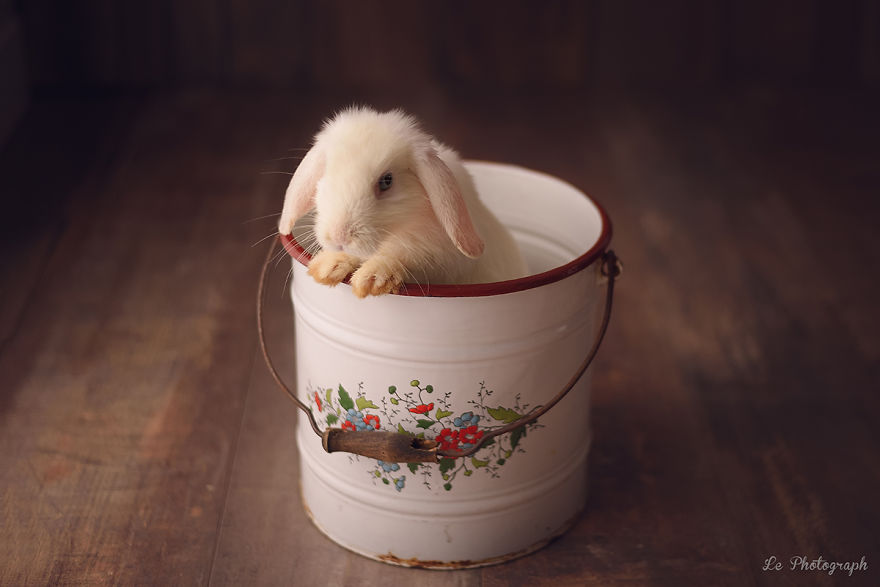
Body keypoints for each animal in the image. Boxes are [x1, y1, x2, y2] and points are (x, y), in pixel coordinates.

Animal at [278, 106, 528, 297]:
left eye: (387, 181)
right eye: (327, 172)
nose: (340, 237)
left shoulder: (441, 259)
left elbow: (403, 254)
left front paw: (372, 279)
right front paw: (328, 266)